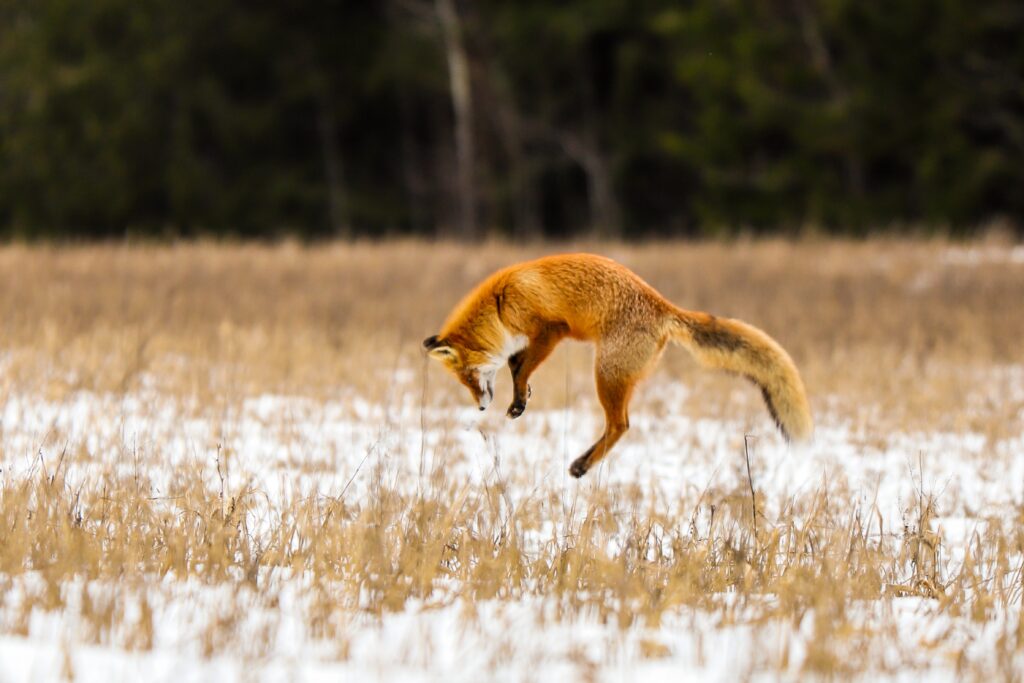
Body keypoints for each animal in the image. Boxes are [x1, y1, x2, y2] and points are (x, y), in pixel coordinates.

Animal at [419, 252, 811, 481]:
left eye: (468, 377)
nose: (481, 407)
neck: (500, 302)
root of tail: (664, 307)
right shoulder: (529, 340)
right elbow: (518, 364)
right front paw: (521, 394)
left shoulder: (550, 329)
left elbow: (523, 366)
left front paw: (517, 398)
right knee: (618, 426)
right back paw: (583, 462)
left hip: (605, 374)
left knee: (620, 425)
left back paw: (583, 465)